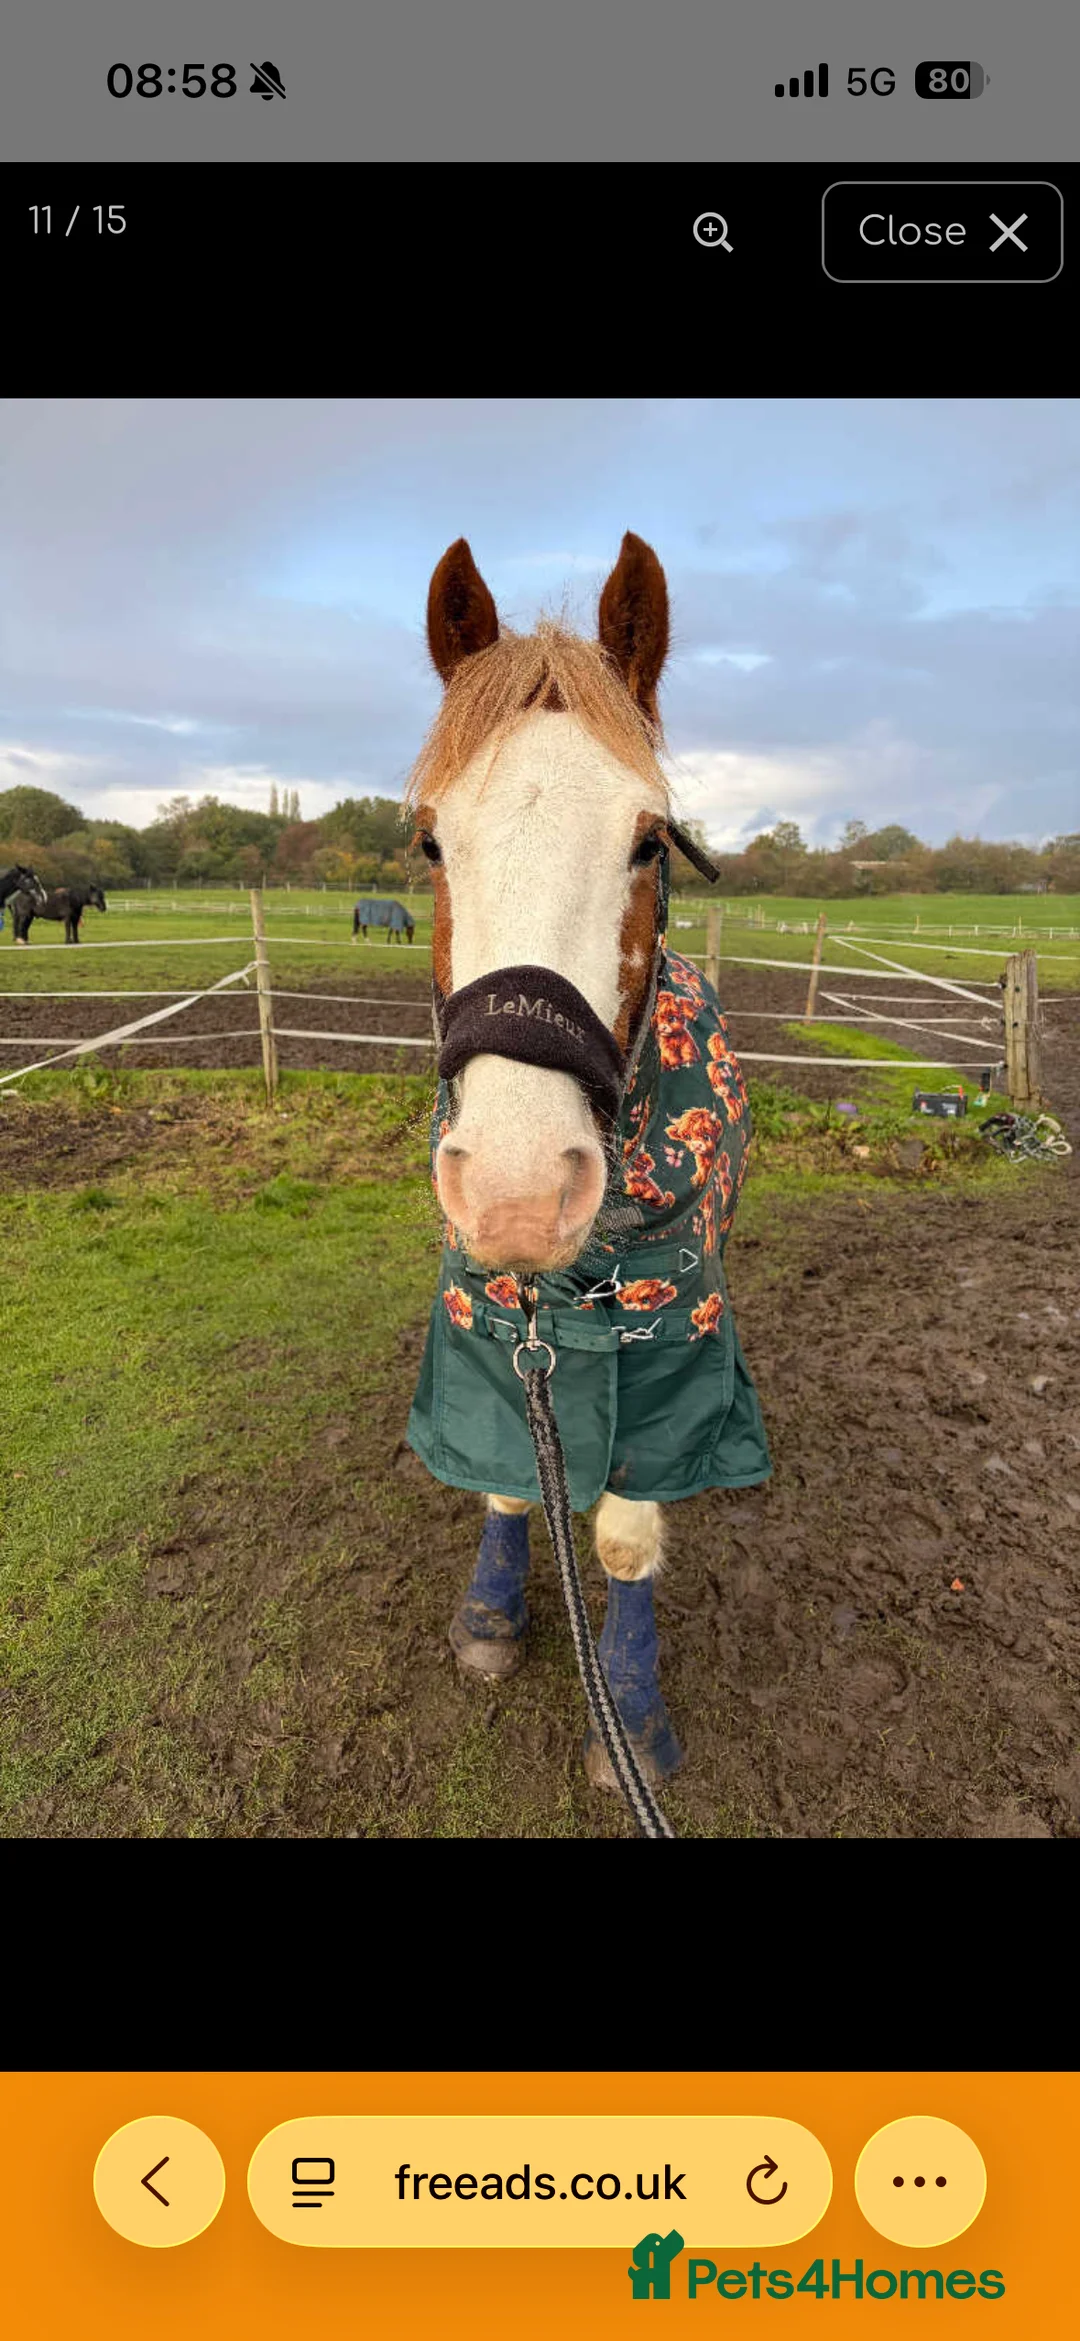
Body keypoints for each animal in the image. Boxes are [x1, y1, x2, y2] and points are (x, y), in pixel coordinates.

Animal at [404, 534, 771, 1799]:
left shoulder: (676, 1349)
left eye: (649, 842)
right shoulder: (479, 1315)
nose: (517, 1190)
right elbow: (506, 1470)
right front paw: (490, 1614)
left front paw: (632, 1713)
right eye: (431, 841)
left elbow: (623, 1532)